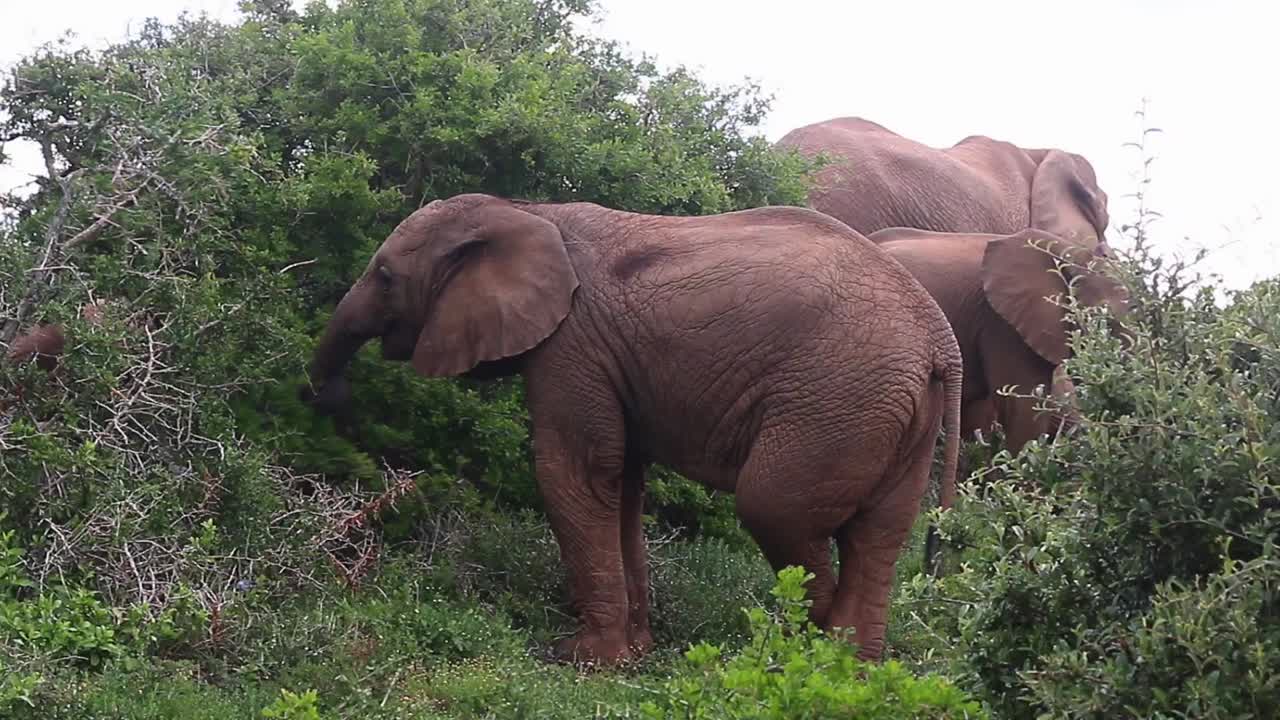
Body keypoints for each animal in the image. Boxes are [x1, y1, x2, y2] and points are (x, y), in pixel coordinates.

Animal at [303, 192, 964, 666]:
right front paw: (636, 653)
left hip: (837, 397)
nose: (332, 400)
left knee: (775, 507)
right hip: (893, 409)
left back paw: (803, 647)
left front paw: (583, 660)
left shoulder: (572, 345)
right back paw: (849, 669)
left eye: (385, 276)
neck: (525, 210)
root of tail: (940, 337)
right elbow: (622, 482)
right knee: (880, 534)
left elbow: (575, 471)